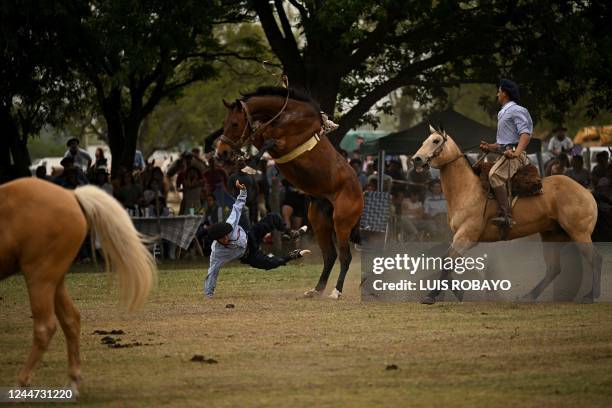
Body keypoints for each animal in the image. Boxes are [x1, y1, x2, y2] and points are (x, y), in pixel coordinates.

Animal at [0, 179, 157, 392]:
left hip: (40, 275)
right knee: (70, 319)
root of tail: (72, 195)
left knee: (45, 326)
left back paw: (22, 382)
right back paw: (73, 381)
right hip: (54, 278)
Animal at [215, 86, 364, 298]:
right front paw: (245, 161)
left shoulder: (283, 144)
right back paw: (316, 289)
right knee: (330, 255)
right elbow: (260, 139)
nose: (221, 153)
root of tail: (360, 194)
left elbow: (268, 142)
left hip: (342, 223)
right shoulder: (263, 137)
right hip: (319, 221)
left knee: (345, 256)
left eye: (234, 124)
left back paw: (336, 291)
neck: (288, 115)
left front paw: (249, 167)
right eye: (225, 124)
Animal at [412, 126, 604, 304]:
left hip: (579, 233)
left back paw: (590, 296)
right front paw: (457, 292)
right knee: (554, 269)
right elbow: (445, 260)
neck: (467, 189)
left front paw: (431, 296)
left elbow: (446, 261)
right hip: (553, 236)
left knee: (595, 259)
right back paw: (530, 296)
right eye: (423, 141)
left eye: (436, 141)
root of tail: (586, 192)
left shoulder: (466, 236)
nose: (416, 159)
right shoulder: (463, 238)